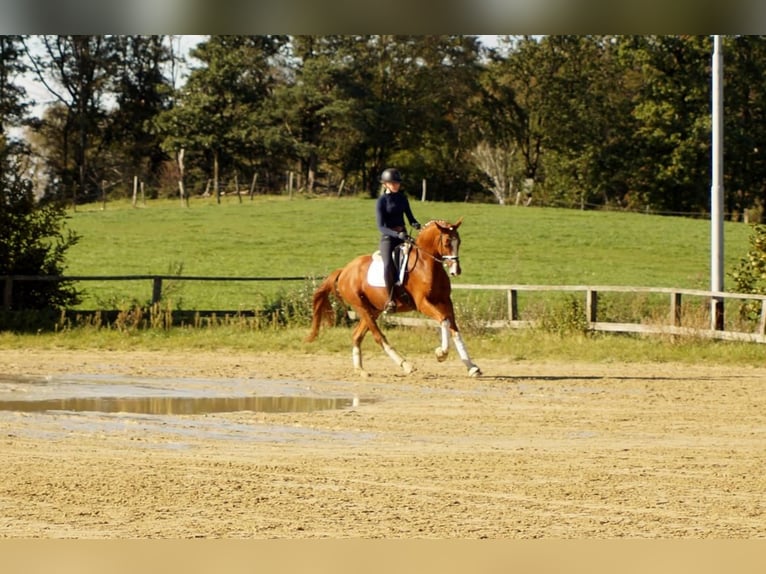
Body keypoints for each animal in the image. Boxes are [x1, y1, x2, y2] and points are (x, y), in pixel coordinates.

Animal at [304, 219, 480, 378]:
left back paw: (360, 370)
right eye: (447, 242)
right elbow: (444, 320)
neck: (426, 265)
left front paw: (472, 367)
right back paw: (406, 365)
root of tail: (345, 270)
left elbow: (454, 329)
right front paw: (441, 353)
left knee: (356, 335)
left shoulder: (445, 302)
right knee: (378, 336)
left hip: (373, 310)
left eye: (459, 241)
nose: (456, 270)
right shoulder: (423, 303)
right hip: (361, 307)